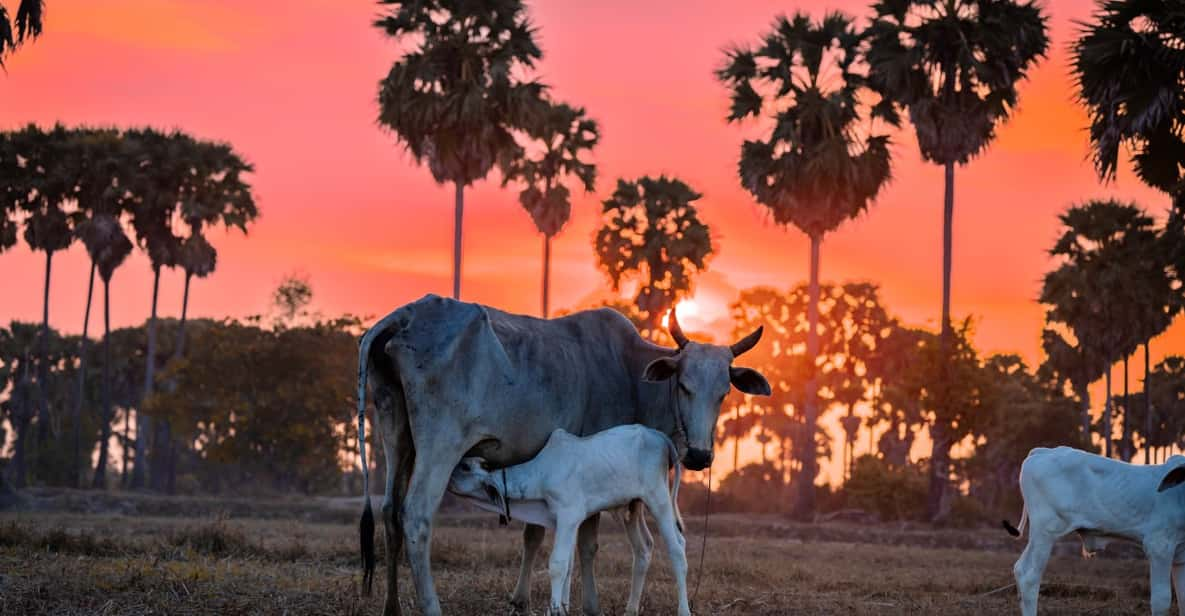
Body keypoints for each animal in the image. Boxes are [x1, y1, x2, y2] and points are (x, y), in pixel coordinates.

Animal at [445, 424, 692, 616]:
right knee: (644, 548)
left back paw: (684, 610)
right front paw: (561, 608)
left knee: (677, 548)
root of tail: (659, 436)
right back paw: (631, 609)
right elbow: (569, 567)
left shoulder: (567, 516)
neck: (542, 474)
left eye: (465, 466)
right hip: (634, 506)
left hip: (659, 499)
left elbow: (557, 564)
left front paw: (554, 609)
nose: (448, 477)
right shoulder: (567, 522)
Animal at [1004, 447, 1185, 616]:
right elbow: (1162, 600)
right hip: (1046, 532)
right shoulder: (1159, 547)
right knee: (1029, 577)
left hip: (1039, 536)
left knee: (1020, 569)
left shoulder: (1180, 557)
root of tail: (1043, 451)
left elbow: (1182, 598)